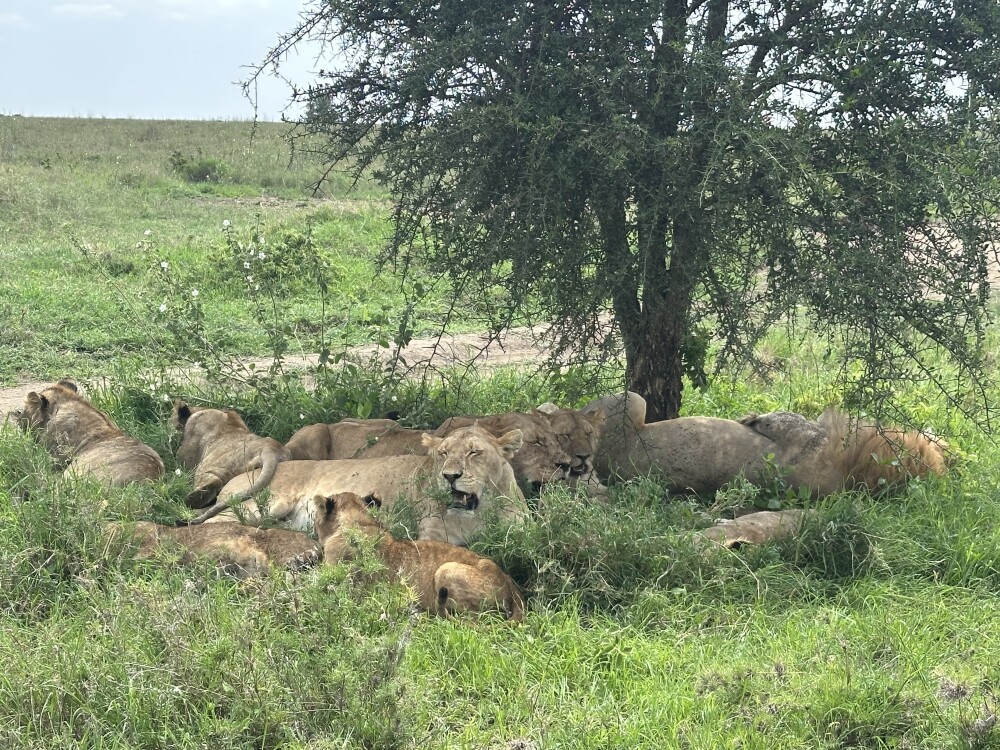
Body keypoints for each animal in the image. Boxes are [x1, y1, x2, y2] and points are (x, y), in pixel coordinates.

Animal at [192, 424, 528, 547]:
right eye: (443, 454)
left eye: (474, 452)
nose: (450, 476)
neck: (478, 513)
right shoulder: (430, 536)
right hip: (264, 505)